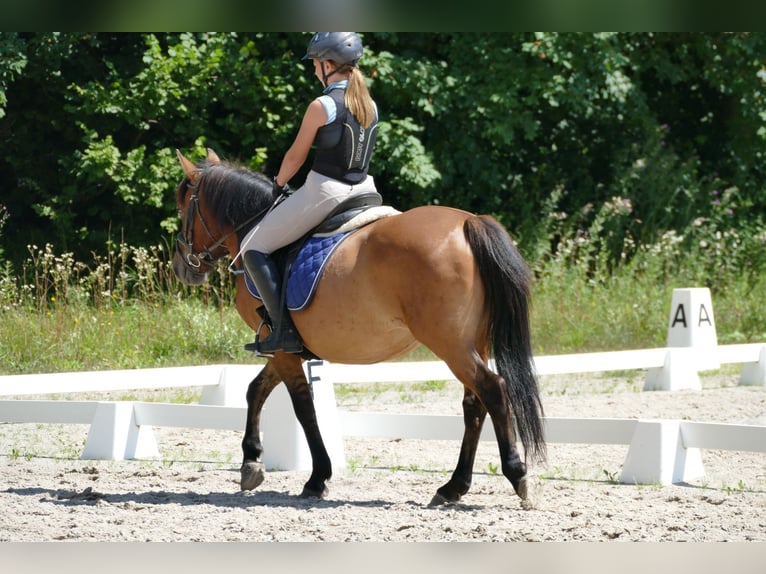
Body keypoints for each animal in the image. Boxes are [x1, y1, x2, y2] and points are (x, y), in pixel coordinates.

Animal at [174, 150, 544, 508]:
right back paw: (452, 487)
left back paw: (516, 476)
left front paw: (316, 478)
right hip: (472, 342)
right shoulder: (285, 348)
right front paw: (251, 462)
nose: (182, 267)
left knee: (493, 389)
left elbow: (303, 407)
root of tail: (469, 221)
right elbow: (256, 390)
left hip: (451, 345)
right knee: (474, 403)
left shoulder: (278, 344)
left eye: (183, 207)